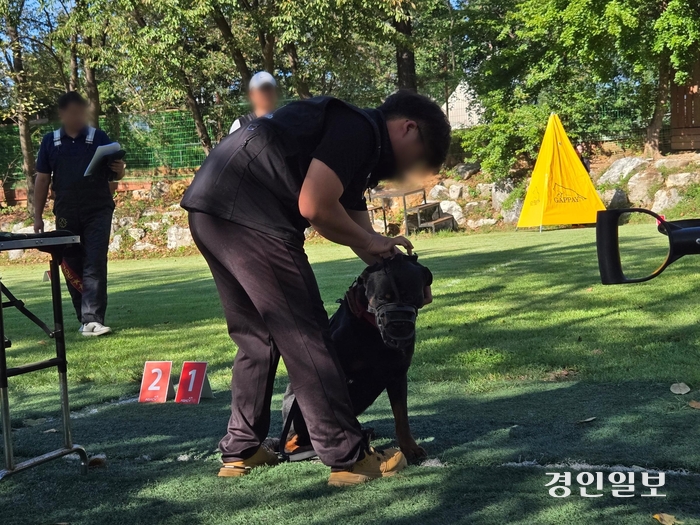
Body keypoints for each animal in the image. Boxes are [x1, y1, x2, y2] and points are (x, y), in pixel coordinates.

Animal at [280, 252, 432, 460]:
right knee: (293, 438)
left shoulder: (398, 374)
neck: (372, 331)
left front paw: (410, 447)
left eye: (410, 296)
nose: (398, 326)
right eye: (381, 298)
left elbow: (402, 417)